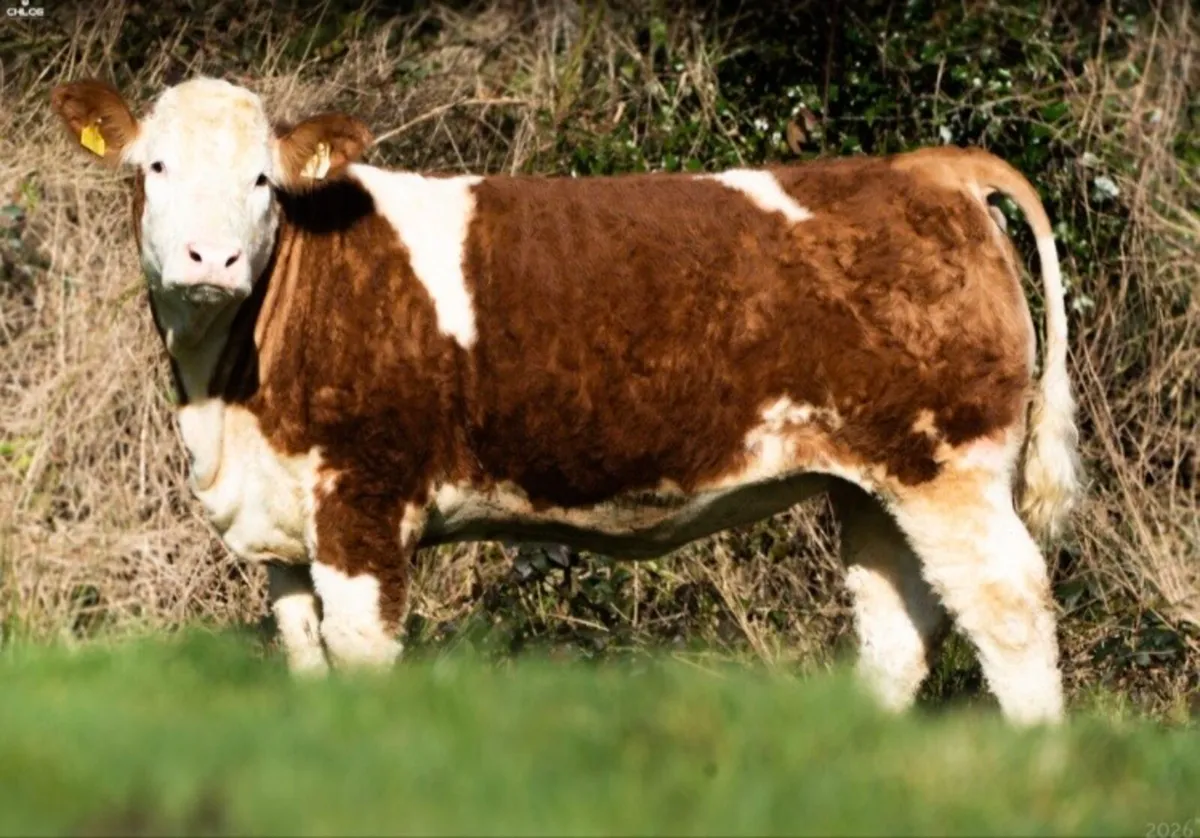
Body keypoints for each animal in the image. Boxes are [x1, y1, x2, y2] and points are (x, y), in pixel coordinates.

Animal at [51, 77, 1080, 724]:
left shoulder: (363, 502)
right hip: (873, 481)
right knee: (898, 626)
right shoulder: (282, 532)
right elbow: (308, 660)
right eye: (153, 169)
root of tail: (930, 166)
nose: (213, 258)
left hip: (944, 462)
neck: (227, 401)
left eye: (262, 178)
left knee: (1010, 607)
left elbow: (364, 658)